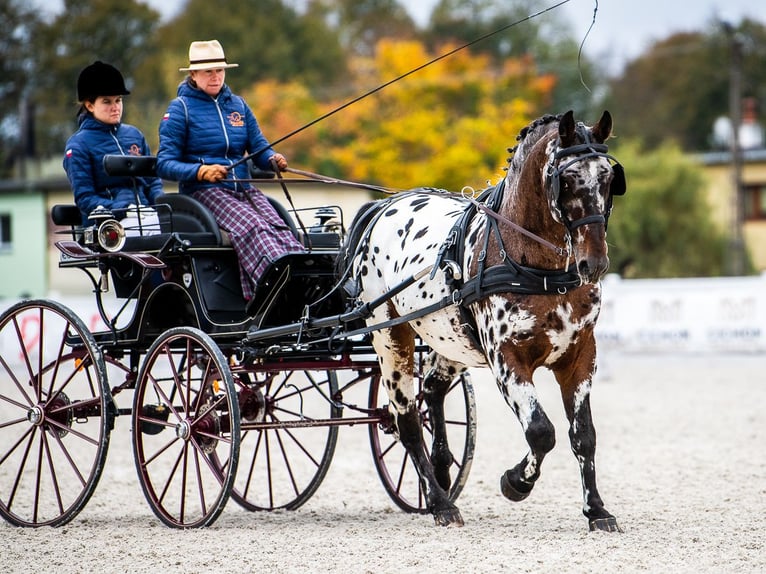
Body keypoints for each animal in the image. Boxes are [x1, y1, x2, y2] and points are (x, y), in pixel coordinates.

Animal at [340, 110, 628, 532]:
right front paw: (516, 482)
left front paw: (597, 510)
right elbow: (541, 432)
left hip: (449, 339)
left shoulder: (579, 357)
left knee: (432, 392)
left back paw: (441, 474)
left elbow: (583, 436)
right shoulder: (507, 360)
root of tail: (383, 207)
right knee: (406, 419)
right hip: (391, 337)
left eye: (609, 179)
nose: (594, 263)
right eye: (567, 179)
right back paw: (441, 503)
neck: (540, 269)